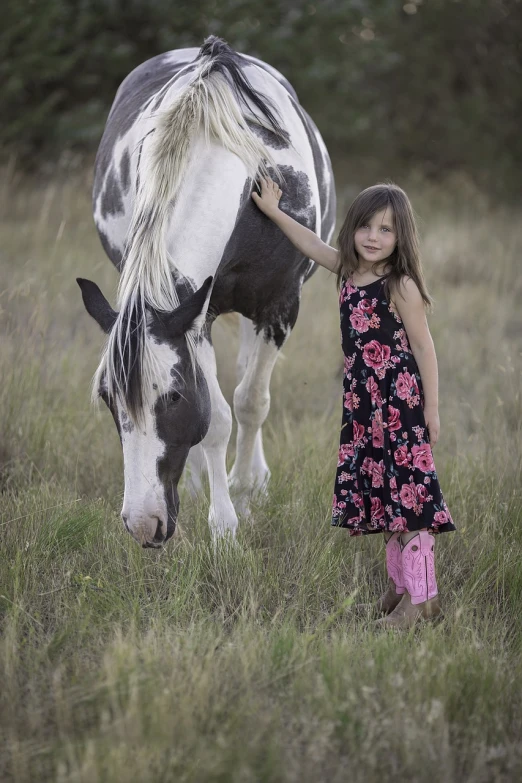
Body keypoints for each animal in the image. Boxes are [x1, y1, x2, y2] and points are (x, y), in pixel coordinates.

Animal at [79, 36, 336, 548]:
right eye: (107, 399)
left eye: (174, 397)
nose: (143, 524)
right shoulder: (200, 312)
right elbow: (216, 418)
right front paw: (223, 524)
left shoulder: (279, 306)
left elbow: (251, 401)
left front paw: (245, 494)